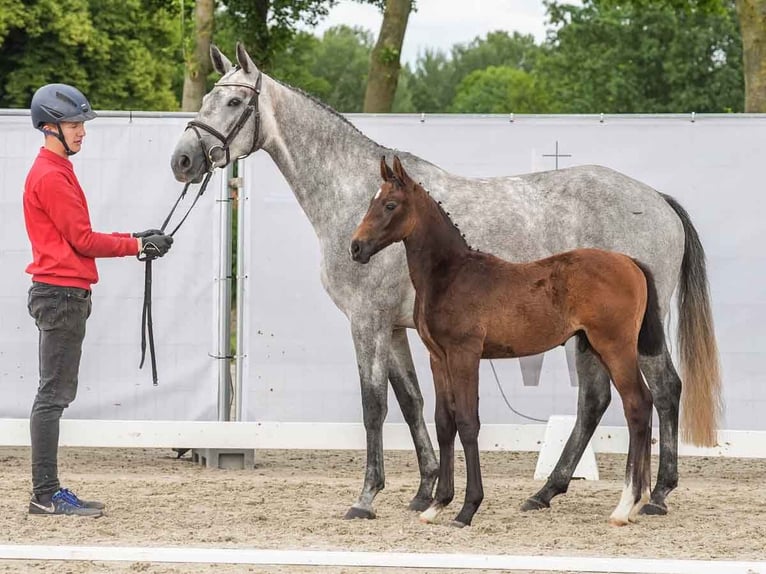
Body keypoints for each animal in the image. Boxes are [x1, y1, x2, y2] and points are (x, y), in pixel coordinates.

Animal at [350, 158, 664, 532]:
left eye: (390, 204)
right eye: (372, 201)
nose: (355, 247)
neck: (450, 275)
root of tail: (630, 262)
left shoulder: (465, 354)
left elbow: (468, 422)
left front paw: (467, 509)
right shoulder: (438, 358)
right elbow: (444, 423)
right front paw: (437, 505)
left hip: (615, 347)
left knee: (638, 406)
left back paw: (625, 505)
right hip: (600, 347)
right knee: (642, 404)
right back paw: (636, 502)